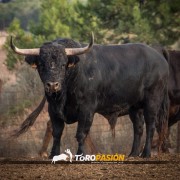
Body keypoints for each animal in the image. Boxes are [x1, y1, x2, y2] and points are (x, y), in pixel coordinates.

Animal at [10, 33, 169, 158]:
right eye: (42, 65)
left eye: (63, 64)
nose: (53, 85)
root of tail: (158, 56)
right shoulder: (53, 110)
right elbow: (57, 132)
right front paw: (53, 155)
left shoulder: (87, 109)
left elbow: (81, 133)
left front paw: (80, 155)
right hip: (134, 106)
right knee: (138, 127)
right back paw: (133, 154)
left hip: (152, 101)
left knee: (150, 125)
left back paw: (146, 154)